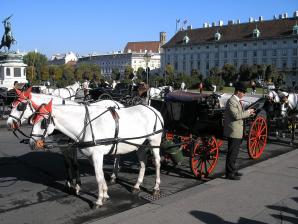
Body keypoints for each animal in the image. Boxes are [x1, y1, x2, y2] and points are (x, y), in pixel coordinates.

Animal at [28, 101, 163, 206]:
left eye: (43, 122)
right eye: (32, 120)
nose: (32, 143)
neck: (86, 125)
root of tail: (154, 110)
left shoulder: (97, 155)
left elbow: (98, 177)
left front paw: (98, 200)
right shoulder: (91, 156)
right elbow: (101, 175)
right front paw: (105, 194)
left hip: (154, 140)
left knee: (157, 162)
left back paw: (156, 188)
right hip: (140, 144)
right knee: (143, 163)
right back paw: (137, 185)